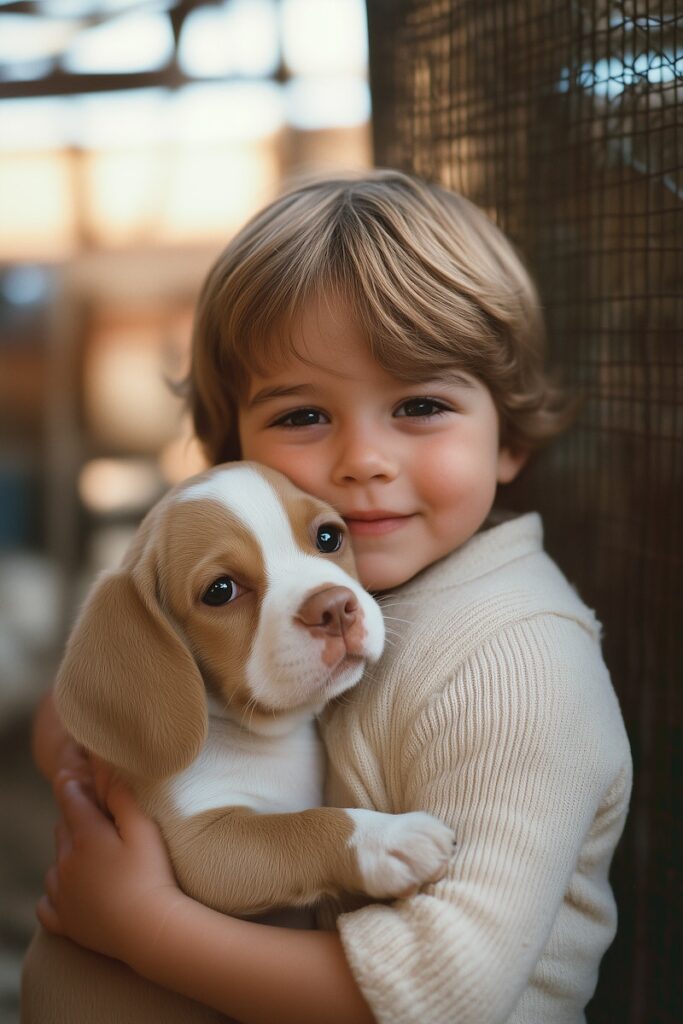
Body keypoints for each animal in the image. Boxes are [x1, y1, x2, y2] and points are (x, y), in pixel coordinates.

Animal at [21, 466, 456, 1024]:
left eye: (328, 537)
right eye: (221, 590)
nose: (334, 608)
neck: (268, 737)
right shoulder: (205, 848)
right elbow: (301, 827)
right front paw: (390, 838)